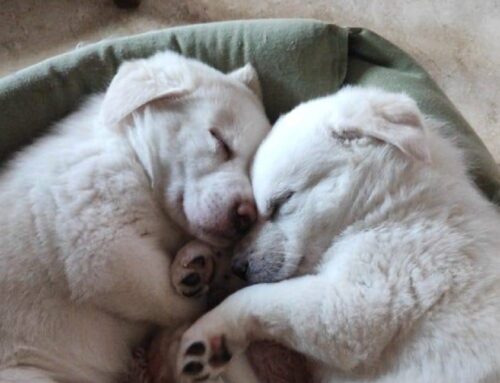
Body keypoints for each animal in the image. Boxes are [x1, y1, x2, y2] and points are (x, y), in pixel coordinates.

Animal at [0, 51, 272, 383]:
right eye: (219, 140)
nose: (246, 218)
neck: (135, 157)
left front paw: (197, 265)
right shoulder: (102, 252)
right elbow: (176, 304)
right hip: (25, 374)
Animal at [175, 87, 500, 383]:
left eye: (281, 201)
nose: (238, 266)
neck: (394, 207)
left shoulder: (361, 305)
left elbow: (256, 298)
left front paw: (208, 334)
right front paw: (200, 261)